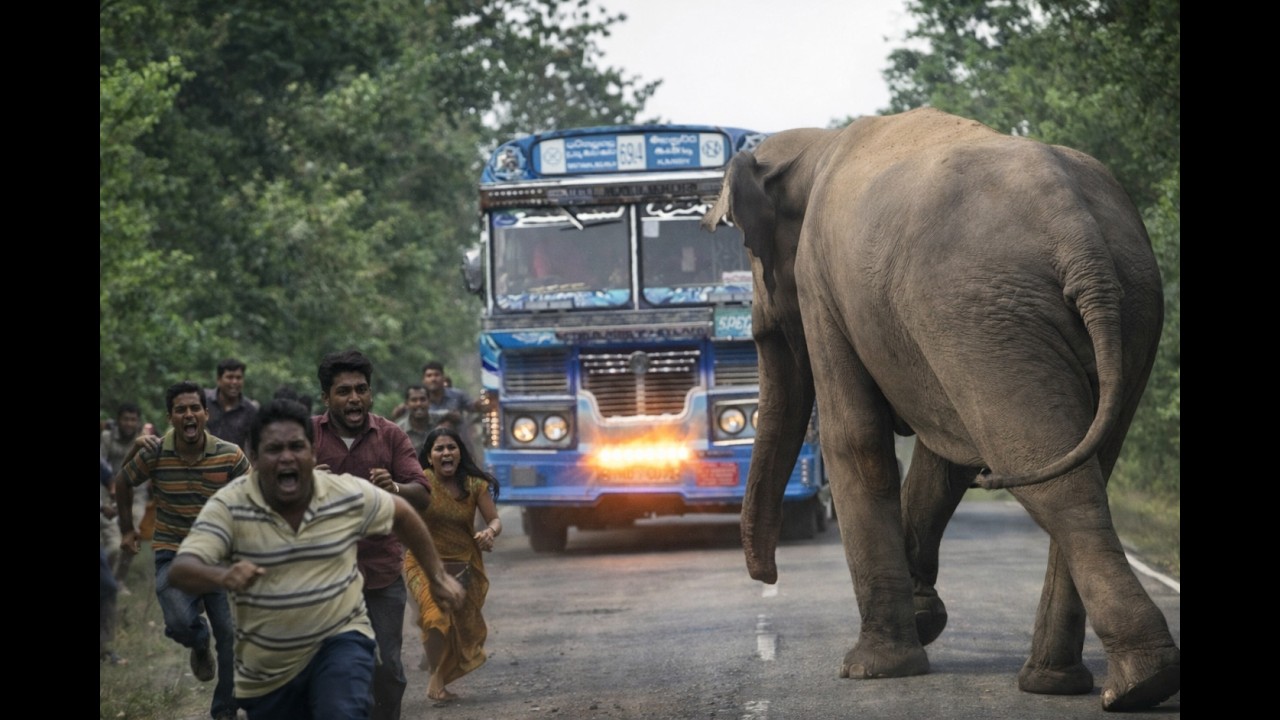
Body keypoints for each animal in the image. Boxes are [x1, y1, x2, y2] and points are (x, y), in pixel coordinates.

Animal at [702, 107, 1179, 711]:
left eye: (749, 252)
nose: (766, 578)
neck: (819, 145)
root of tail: (1081, 237)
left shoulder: (819, 283)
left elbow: (855, 437)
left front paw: (873, 669)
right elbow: (944, 452)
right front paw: (923, 617)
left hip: (987, 317)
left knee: (1047, 473)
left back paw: (1133, 685)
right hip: (1117, 310)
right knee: (1082, 466)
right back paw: (1071, 684)